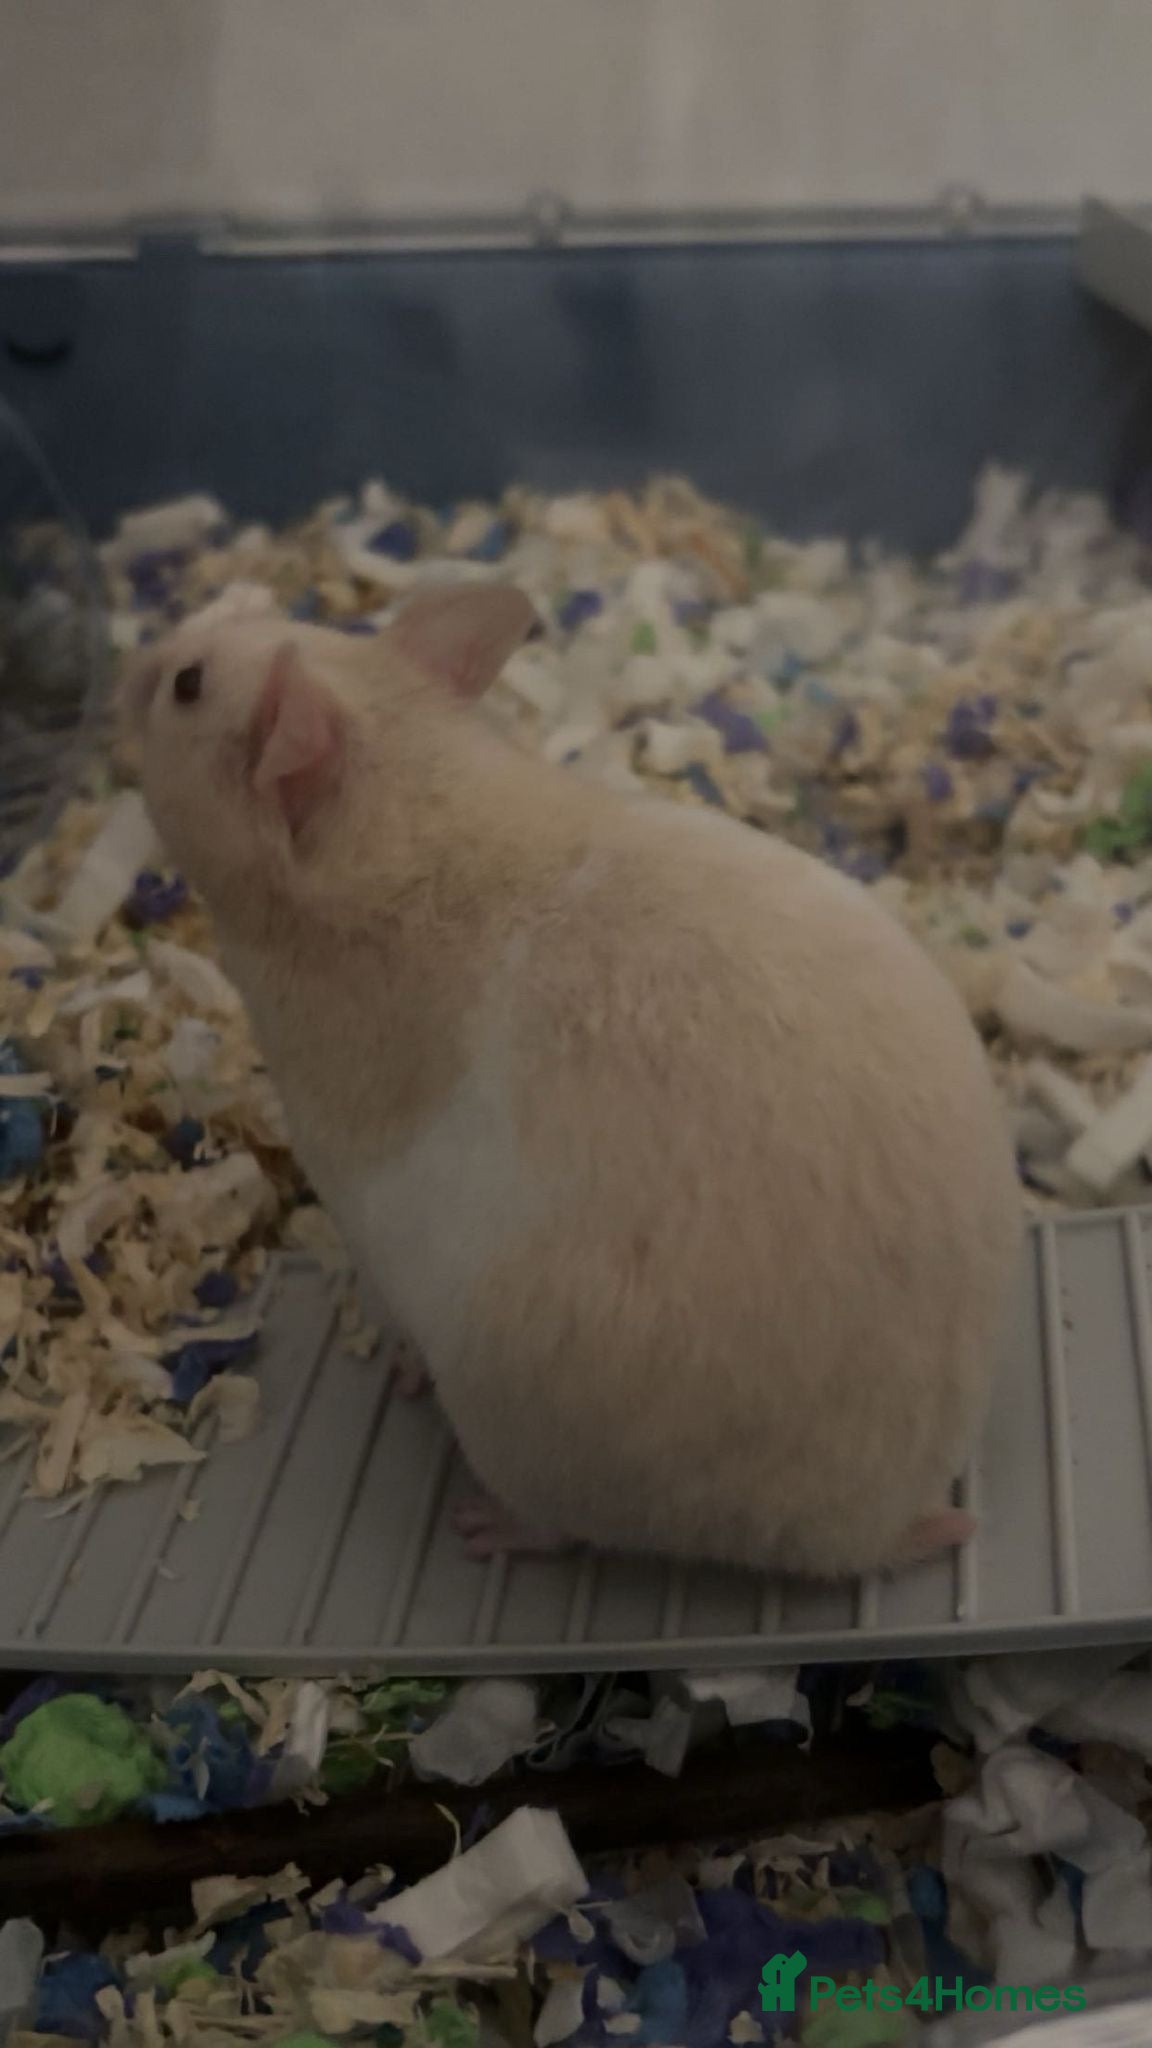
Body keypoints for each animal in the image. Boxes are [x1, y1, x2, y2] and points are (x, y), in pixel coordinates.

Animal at [129, 585, 1021, 1580]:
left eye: (187, 685)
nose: (136, 661)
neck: (406, 809)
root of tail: (877, 1527)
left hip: (525, 1432)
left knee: (557, 1527)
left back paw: (480, 1525)